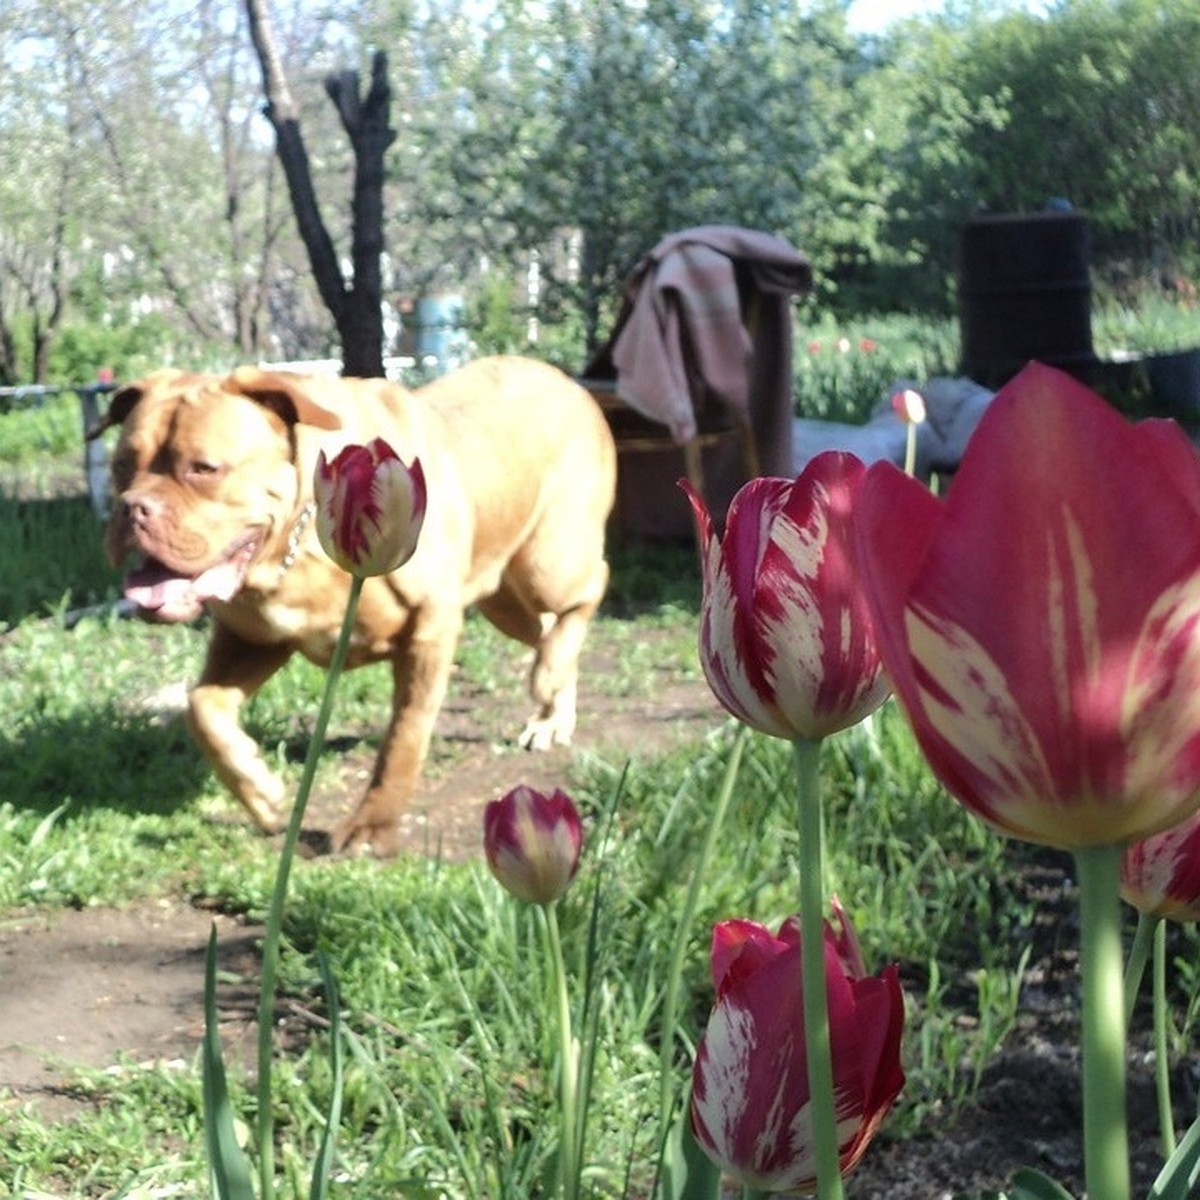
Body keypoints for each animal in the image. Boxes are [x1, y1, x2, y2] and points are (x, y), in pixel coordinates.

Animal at [91, 352, 619, 854]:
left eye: (203, 468)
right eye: (121, 466)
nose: (132, 508)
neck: (294, 540)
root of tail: (564, 380)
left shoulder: (429, 630)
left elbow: (404, 734)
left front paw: (373, 827)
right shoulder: (251, 639)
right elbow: (202, 708)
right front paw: (260, 793)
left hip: (547, 563)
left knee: (588, 589)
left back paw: (548, 675)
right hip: (502, 597)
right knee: (545, 630)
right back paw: (553, 711)